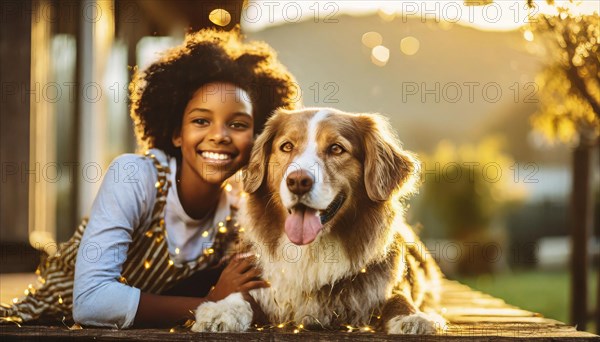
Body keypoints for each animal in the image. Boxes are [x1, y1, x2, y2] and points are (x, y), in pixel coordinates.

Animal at [193, 109, 446, 334]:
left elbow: (399, 297)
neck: (311, 249)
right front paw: (221, 310)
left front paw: (412, 317)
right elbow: (242, 294)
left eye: (336, 149)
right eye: (287, 146)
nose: (298, 181)